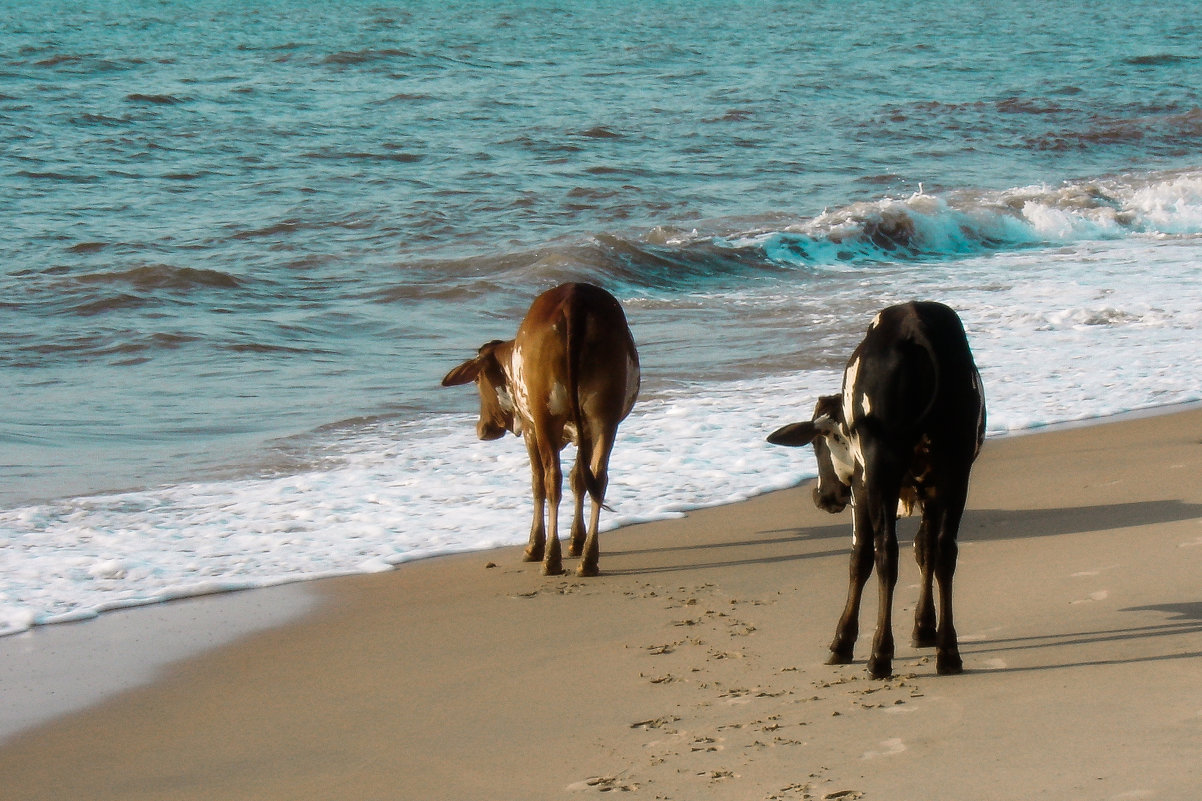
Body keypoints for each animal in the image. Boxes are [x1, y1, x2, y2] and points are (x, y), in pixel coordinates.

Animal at [442, 280, 639, 574]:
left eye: (477, 379)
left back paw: (550, 558)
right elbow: (579, 480)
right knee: (598, 477)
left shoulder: (530, 429)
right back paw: (588, 558)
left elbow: (537, 482)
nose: (483, 429)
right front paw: (576, 541)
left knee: (551, 479)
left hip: (546, 418)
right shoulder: (584, 433)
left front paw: (534, 546)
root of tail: (575, 298)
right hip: (604, 418)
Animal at [769, 303, 985, 678]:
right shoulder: (929, 487)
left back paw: (879, 655)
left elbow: (860, 558)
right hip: (956, 471)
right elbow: (925, 549)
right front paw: (924, 627)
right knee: (945, 551)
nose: (822, 497)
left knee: (885, 553)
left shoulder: (862, 484)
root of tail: (915, 323)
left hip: (881, 471)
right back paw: (948, 651)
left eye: (816, 445)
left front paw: (843, 641)